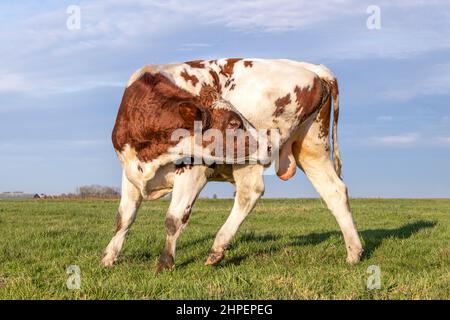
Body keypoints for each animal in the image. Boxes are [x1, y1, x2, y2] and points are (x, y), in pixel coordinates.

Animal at [101, 58, 362, 272]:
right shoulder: (130, 170)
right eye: (234, 123)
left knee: (250, 192)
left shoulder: (195, 169)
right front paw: (108, 258)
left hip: (250, 160)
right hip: (312, 147)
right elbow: (124, 217)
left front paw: (165, 262)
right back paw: (354, 252)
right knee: (334, 191)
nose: (268, 146)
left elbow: (174, 219)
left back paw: (217, 248)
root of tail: (312, 69)